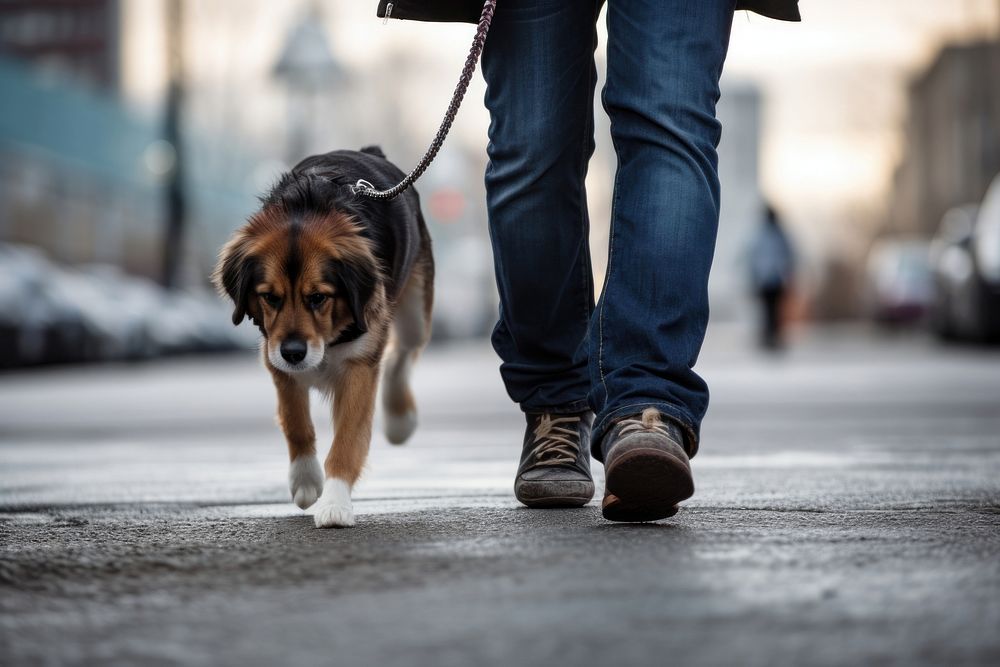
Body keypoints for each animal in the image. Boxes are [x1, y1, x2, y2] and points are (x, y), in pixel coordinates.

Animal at [215, 147, 434, 528]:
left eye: (318, 297)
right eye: (270, 297)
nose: (294, 352)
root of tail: (369, 151)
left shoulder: (358, 366)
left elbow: (347, 441)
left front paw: (335, 504)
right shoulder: (274, 356)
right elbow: (296, 423)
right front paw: (305, 480)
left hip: (415, 315)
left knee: (400, 355)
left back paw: (399, 421)